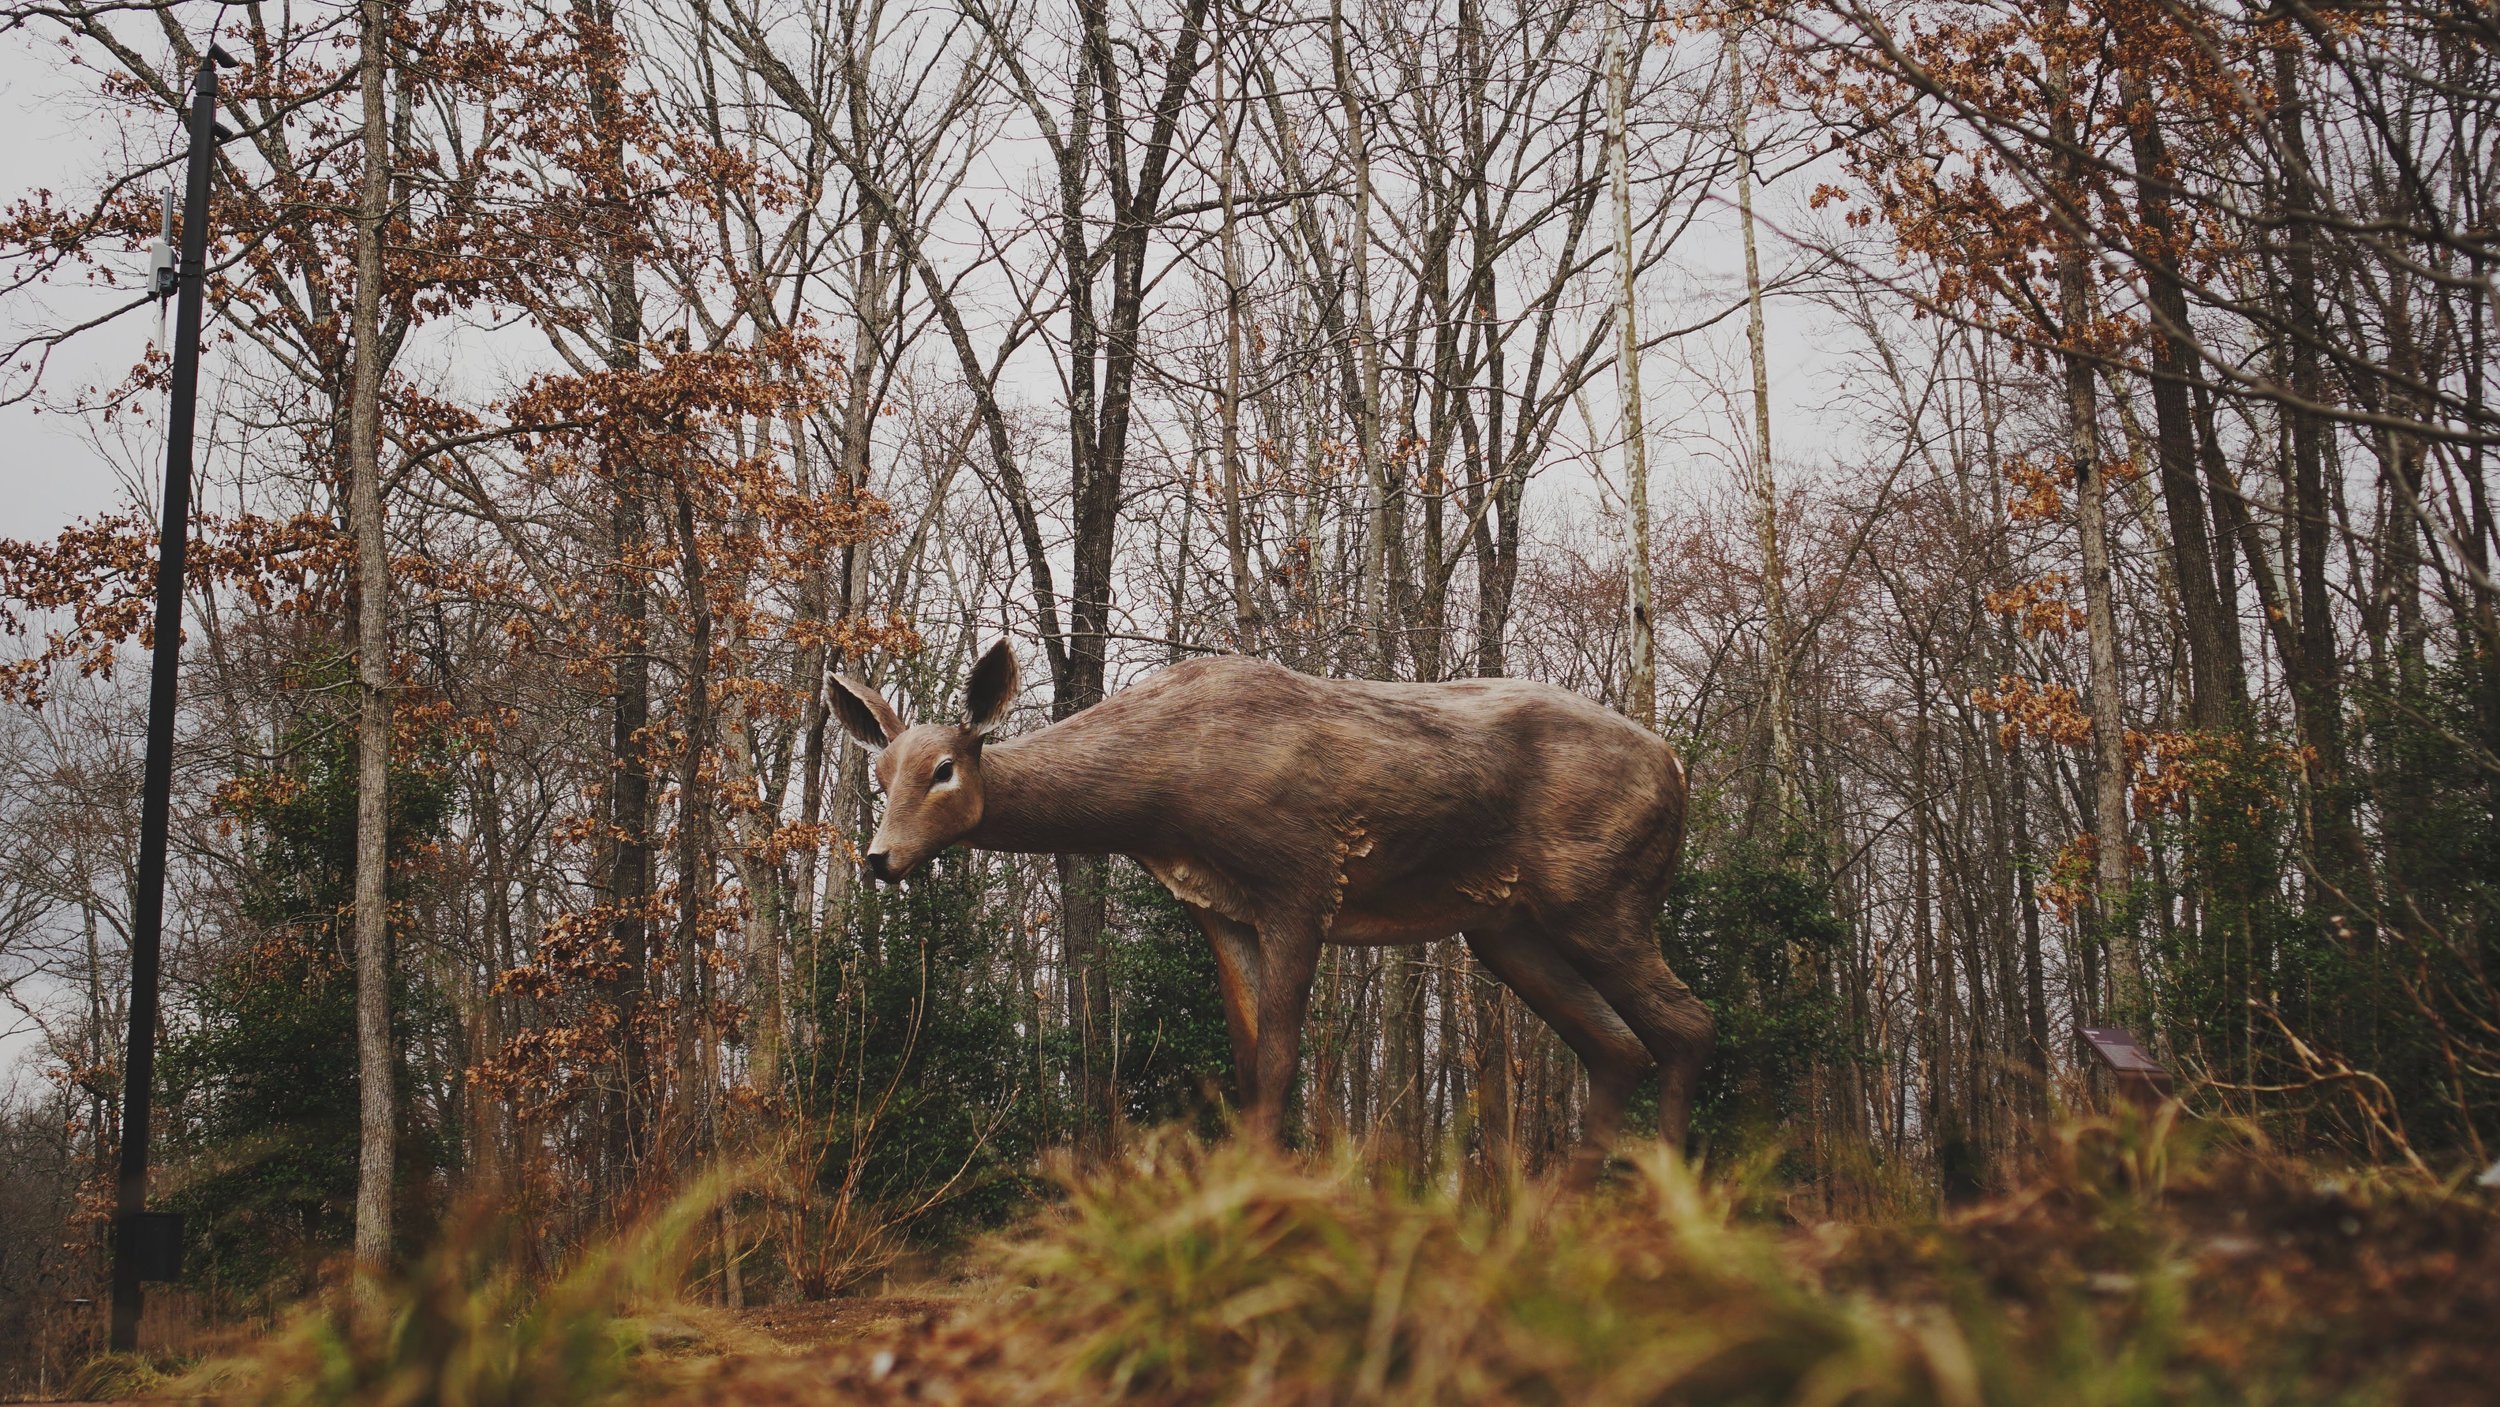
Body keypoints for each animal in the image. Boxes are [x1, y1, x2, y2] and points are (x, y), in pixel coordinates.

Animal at [831, 640, 1713, 1176]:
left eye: (943, 770)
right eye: (880, 774)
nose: (879, 858)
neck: (1169, 790)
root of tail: (1677, 767)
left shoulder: (1302, 880)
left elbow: (1285, 1058)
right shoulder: (1220, 908)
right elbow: (1251, 1059)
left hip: (1602, 897)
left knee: (1685, 1023)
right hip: (1508, 926)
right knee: (1619, 1046)